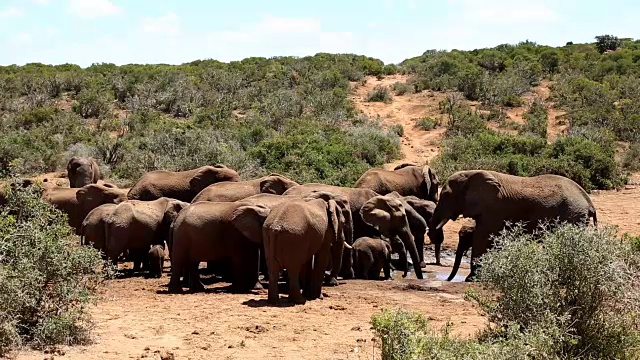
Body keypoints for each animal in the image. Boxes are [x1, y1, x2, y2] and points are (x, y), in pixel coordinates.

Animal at [428, 169, 596, 282]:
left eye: (445, 196)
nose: (445, 280)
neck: (472, 174)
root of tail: (588, 201)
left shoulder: (493, 208)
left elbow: (482, 238)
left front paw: (471, 279)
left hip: (572, 214)